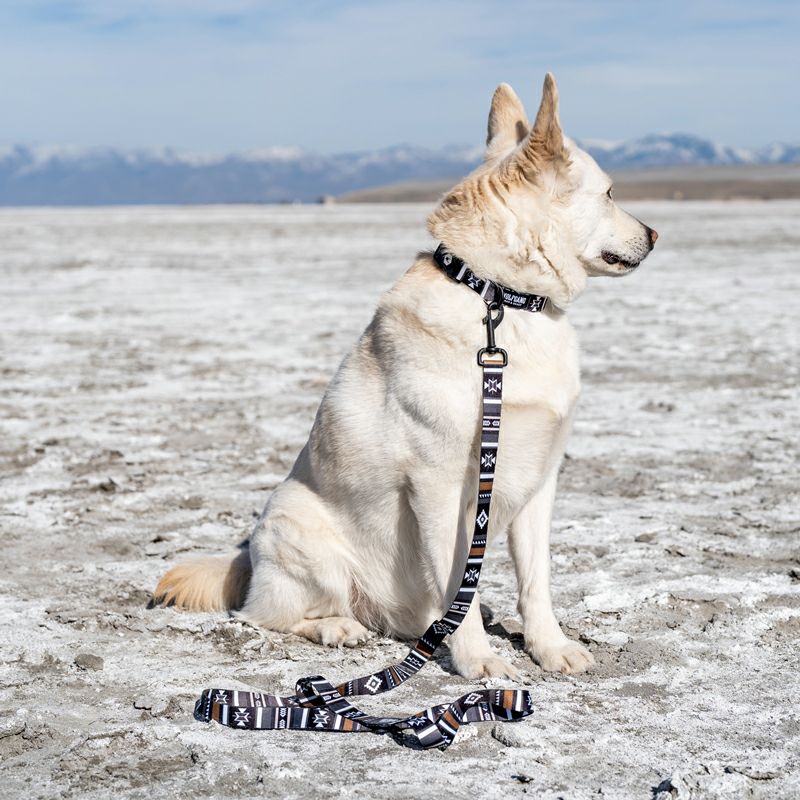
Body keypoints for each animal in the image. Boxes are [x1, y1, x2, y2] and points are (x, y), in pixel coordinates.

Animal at [154, 73, 657, 678]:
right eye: (609, 193)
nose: (655, 234)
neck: (499, 297)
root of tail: (245, 561)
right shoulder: (440, 487)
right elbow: (458, 589)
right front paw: (478, 662)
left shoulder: (540, 480)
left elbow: (536, 581)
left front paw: (550, 647)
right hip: (299, 531)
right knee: (262, 616)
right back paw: (338, 628)